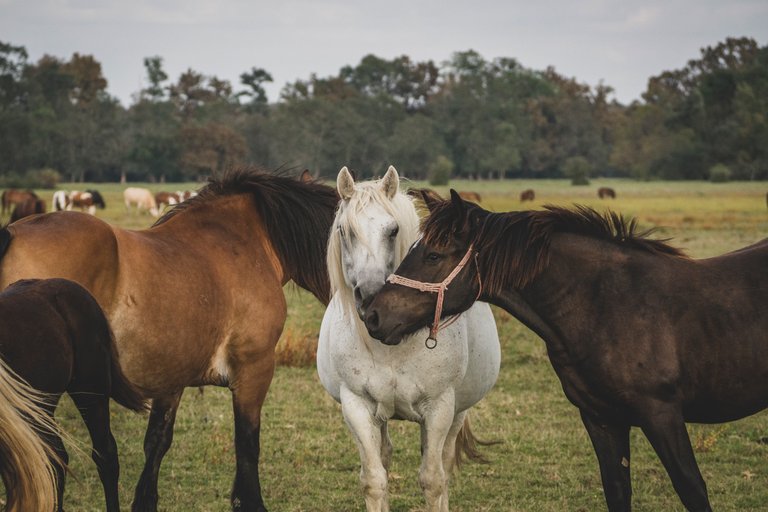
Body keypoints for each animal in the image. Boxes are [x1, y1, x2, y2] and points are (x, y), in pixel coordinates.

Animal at [316, 166, 500, 510]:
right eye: (344, 231)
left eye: (393, 231)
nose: (371, 297)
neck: (392, 343)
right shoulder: (356, 406)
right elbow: (374, 480)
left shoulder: (439, 408)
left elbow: (433, 480)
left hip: (458, 411)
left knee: (443, 461)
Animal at [364, 191, 768, 512]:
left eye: (433, 256)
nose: (373, 315)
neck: (609, 305)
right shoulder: (601, 418)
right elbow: (617, 491)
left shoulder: (662, 414)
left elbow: (692, 489)